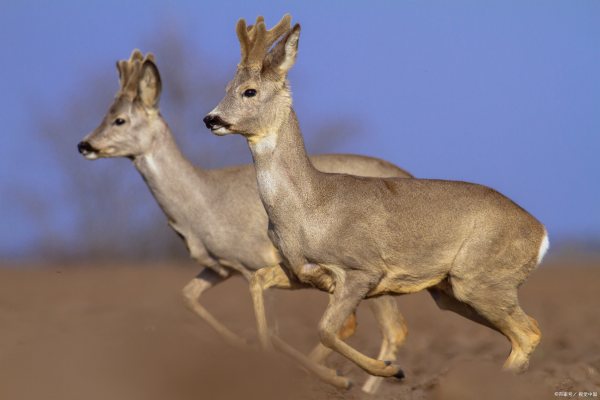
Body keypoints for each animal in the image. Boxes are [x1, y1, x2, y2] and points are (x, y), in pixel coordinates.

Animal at [78, 45, 412, 392]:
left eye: (120, 119)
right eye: (106, 114)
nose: (84, 144)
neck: (203, 202)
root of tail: (408, 175)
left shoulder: (256, 261)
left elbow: (273, 331)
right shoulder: (221, 266)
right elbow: (188, 296)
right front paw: (241, 345)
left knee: (391, 328)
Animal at [206, 14, 548, 390]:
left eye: (249, 91)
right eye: (227, 87)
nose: (211, 119)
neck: (309, 207)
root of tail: (542, 233)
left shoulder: (362, 270)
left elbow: (325, 330)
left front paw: (378, 373)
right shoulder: (299, 271)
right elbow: (258, 283)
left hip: (481, 279)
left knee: (529, 332)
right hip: (452, 291)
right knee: (522, 334)